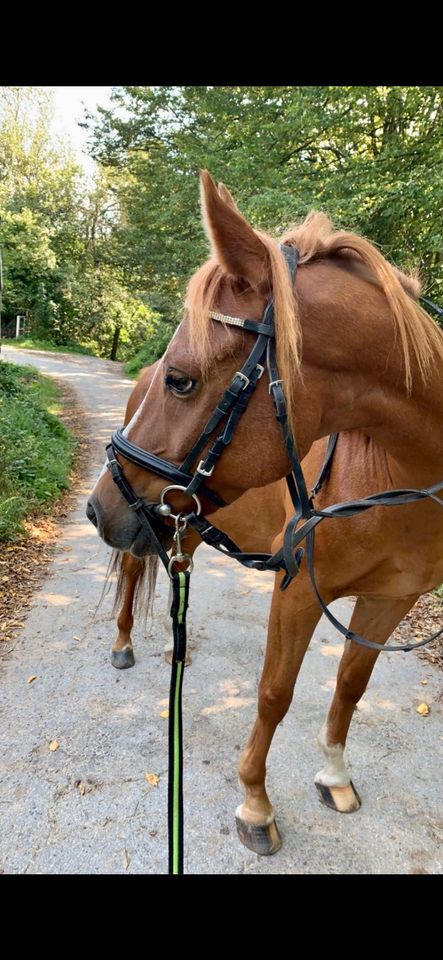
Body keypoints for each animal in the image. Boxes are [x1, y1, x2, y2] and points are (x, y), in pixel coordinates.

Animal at [87, 174, 443, 856]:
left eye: (181, 380)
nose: (96, 508)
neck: (392, 473)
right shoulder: (298, 590)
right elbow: (275, 693)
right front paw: (255, 802)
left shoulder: (392, 598)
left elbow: (351, 686)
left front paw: (334, 776)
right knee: (133, 574)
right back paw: (123, 643)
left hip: (187, 523)